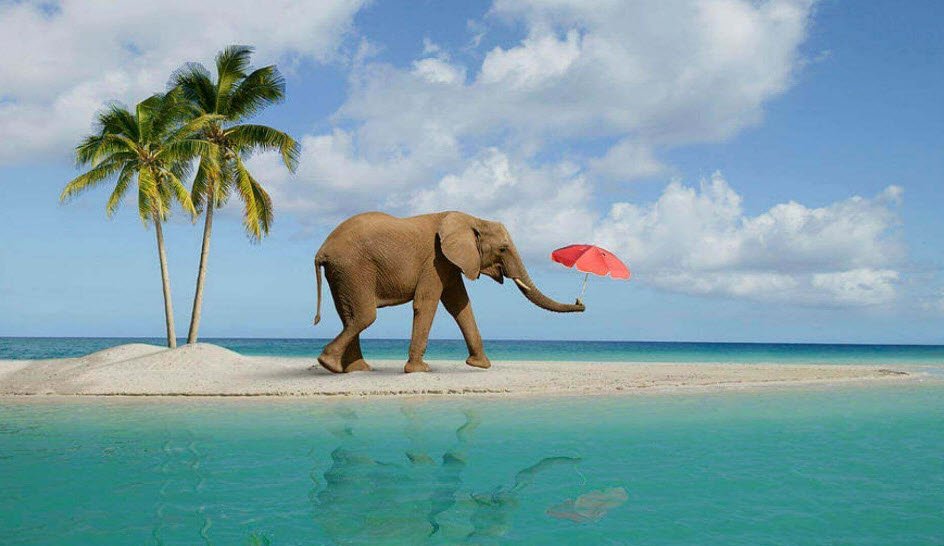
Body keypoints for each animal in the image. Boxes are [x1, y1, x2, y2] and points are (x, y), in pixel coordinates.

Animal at [312, 211, 585, 374]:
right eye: (503, 249)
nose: (580, 303)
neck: (473, 219)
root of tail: (322, 249)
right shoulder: (435, 260)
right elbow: (427, 303)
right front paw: (419, 371)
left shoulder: (450, 263)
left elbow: (460, 305)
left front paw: (480, 366)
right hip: (353, 268)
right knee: (365, 316)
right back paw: (329, 364)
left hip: (342, 272)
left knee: (349, 316)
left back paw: (355, 369)